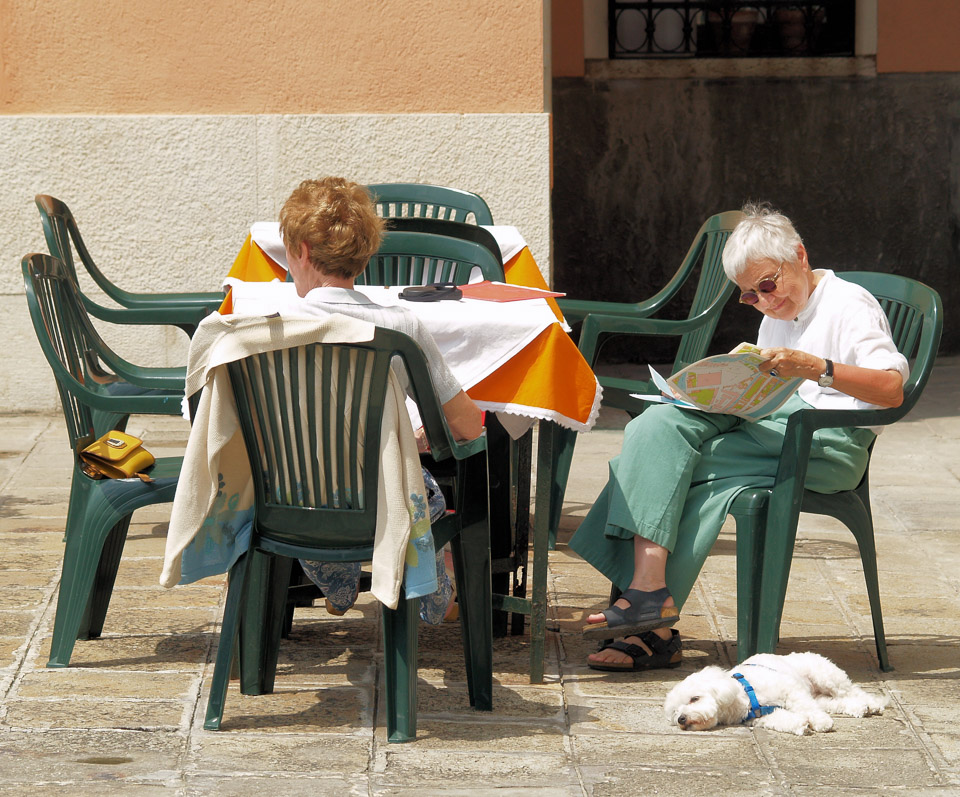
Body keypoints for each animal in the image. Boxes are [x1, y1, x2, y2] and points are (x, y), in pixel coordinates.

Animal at [664, 652, 888, 732]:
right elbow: (784, 719)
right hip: (822, 697)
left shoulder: (791, 691)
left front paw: (820, 722)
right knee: (838, 702)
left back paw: (873, 704)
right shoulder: (763, 716)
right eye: (675, 712)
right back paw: (860, 708)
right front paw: (800, 725)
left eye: (694, 698)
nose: (681, 719)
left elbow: (806, 709)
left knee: (852, 691)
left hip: (827, 677)